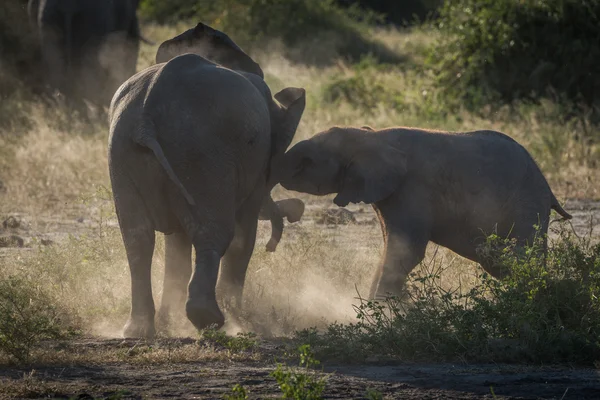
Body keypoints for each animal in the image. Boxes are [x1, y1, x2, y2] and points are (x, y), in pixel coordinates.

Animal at [107, 22, 304, 338]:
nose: (271, 247)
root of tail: (146, 118)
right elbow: (242, 235)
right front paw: (239, 319)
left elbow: (176, 242)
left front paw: (169, 321)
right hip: (201, 153)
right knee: (215, 232)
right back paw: (210, 320)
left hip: (125, 152)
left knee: (137, 238)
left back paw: (138, 331)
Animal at [278, 126, 572, 298]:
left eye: (308, 162)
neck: (372, 136)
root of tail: (548, 187)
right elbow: (391, 248)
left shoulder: (412, 189)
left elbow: (406, 252)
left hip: (527, 204)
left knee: (519, 258)